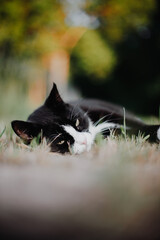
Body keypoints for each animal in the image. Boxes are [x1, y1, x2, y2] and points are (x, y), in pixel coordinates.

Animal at [11, 82, 160, 154]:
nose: (83, 141)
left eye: (77, 122)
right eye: (60, 140)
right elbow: (131, 133)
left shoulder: (108, 113)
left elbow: (136, 126)